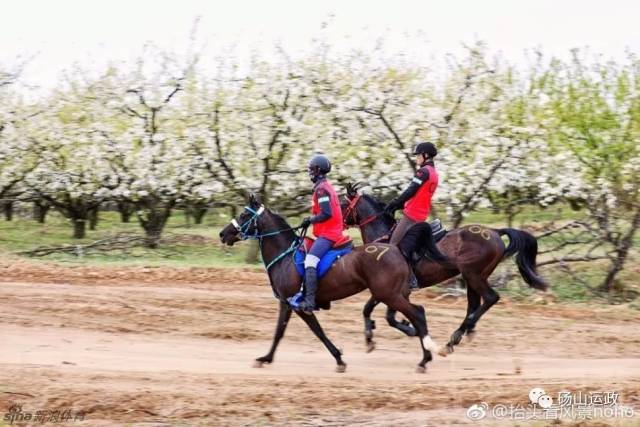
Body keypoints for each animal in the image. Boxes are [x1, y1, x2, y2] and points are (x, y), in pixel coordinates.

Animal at [220, 196, 450, 372]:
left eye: (244, 215)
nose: (223, 234)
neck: (285, 256)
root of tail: (397, 248)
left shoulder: (297, 306)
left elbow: (316, 332)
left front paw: (339, 358)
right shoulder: (286, 304)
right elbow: (280, 332)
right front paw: (266, 358)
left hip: (389, 295)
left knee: (417, 314)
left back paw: (427, 357)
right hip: (396, 294)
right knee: (417, 315)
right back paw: (426, 355)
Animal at [342, 183, 548, 354]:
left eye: (342, 203)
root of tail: (495, 232)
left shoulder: (394, 290)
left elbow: (387, 316)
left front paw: (411, 330)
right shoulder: (391, 291)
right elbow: (373, 311)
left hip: (473, 275)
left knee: (490, 298)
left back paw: (457, 335)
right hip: (473, 277)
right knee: (474, 304)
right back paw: (461, 335)